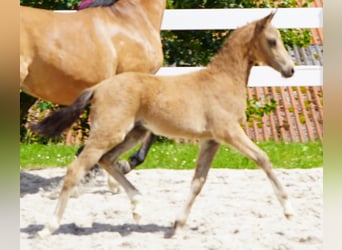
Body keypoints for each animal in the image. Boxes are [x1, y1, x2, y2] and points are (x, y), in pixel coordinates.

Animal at [30, 12, 296, 237]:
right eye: (272, 41)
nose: (290, 70)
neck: (222, 80)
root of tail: (98, 87)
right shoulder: (229, 132)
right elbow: (263, 158)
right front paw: (289, 210)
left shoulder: (210, 140)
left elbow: (198, 182)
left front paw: (178, 225)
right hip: (110, 133)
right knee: (76, 169)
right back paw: (49, 227)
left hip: (134, 133)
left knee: (107, 160)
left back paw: (137, 206)